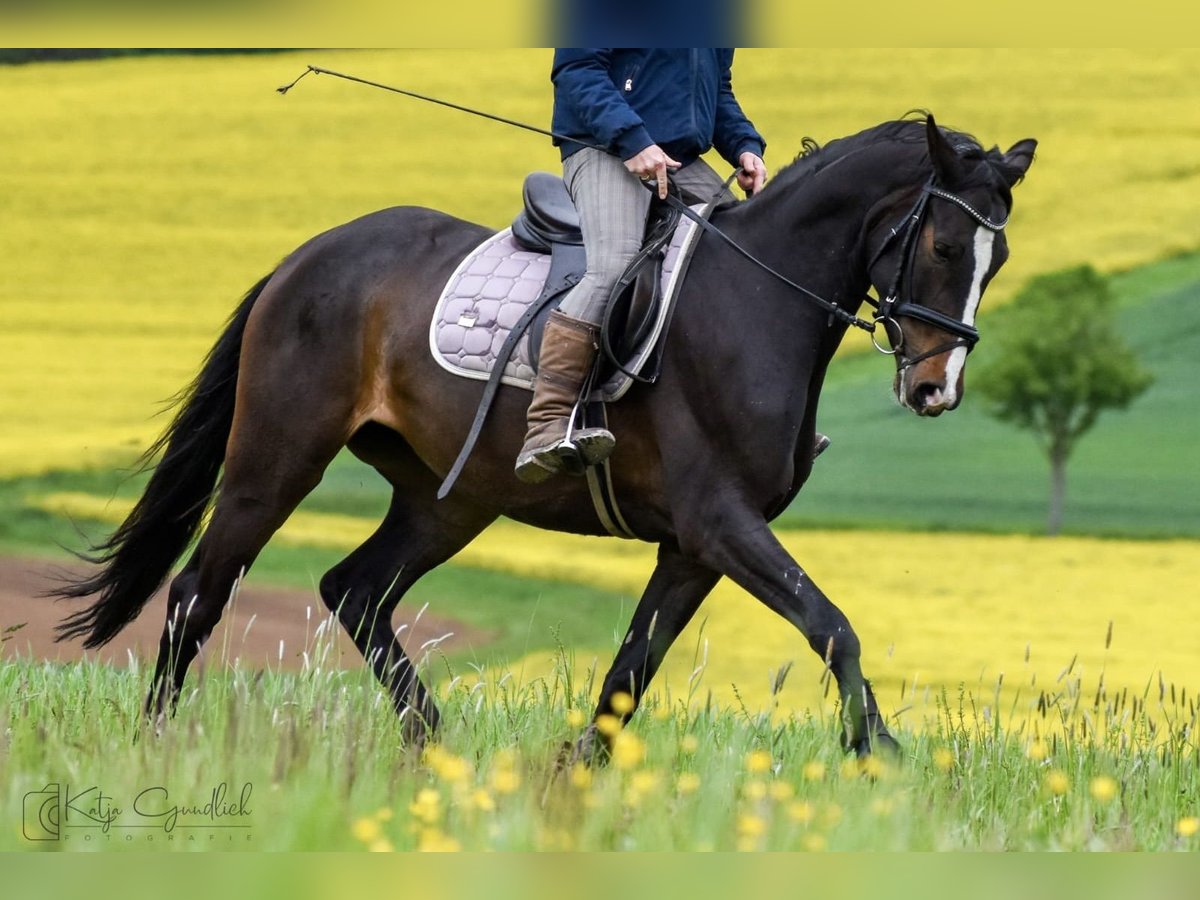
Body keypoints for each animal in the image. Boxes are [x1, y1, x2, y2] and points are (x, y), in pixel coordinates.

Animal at [56, 116, 1032, 758]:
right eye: (946, 247)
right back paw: (156, 745)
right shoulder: (720, 522)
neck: (757, 298)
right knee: (198, 593)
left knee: (356, 590)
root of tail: (309, 256)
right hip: (277, 460)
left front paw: (574, 777)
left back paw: (433, 745)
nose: (936, 389)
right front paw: (879, 756)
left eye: (1000, 260)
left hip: (449, 498)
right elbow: (833, 627)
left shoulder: (694, 547)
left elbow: (632, 669)